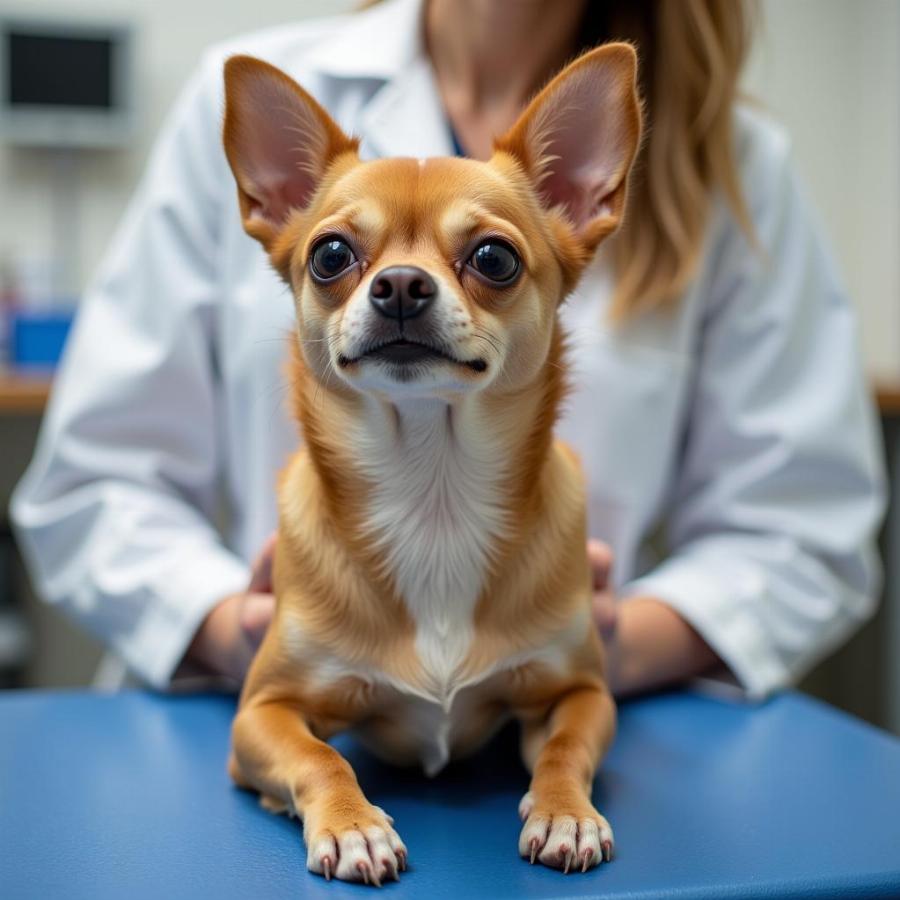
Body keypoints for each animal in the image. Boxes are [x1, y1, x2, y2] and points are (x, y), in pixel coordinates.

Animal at [220, 44, 640, 884]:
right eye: (331, 256)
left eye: (494, 258)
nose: (402, 285)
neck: (432, 490)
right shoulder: (262, 712)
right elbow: (321, 759)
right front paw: (353, 826)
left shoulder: (582, 689)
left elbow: (567, 747)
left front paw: (566, 814)